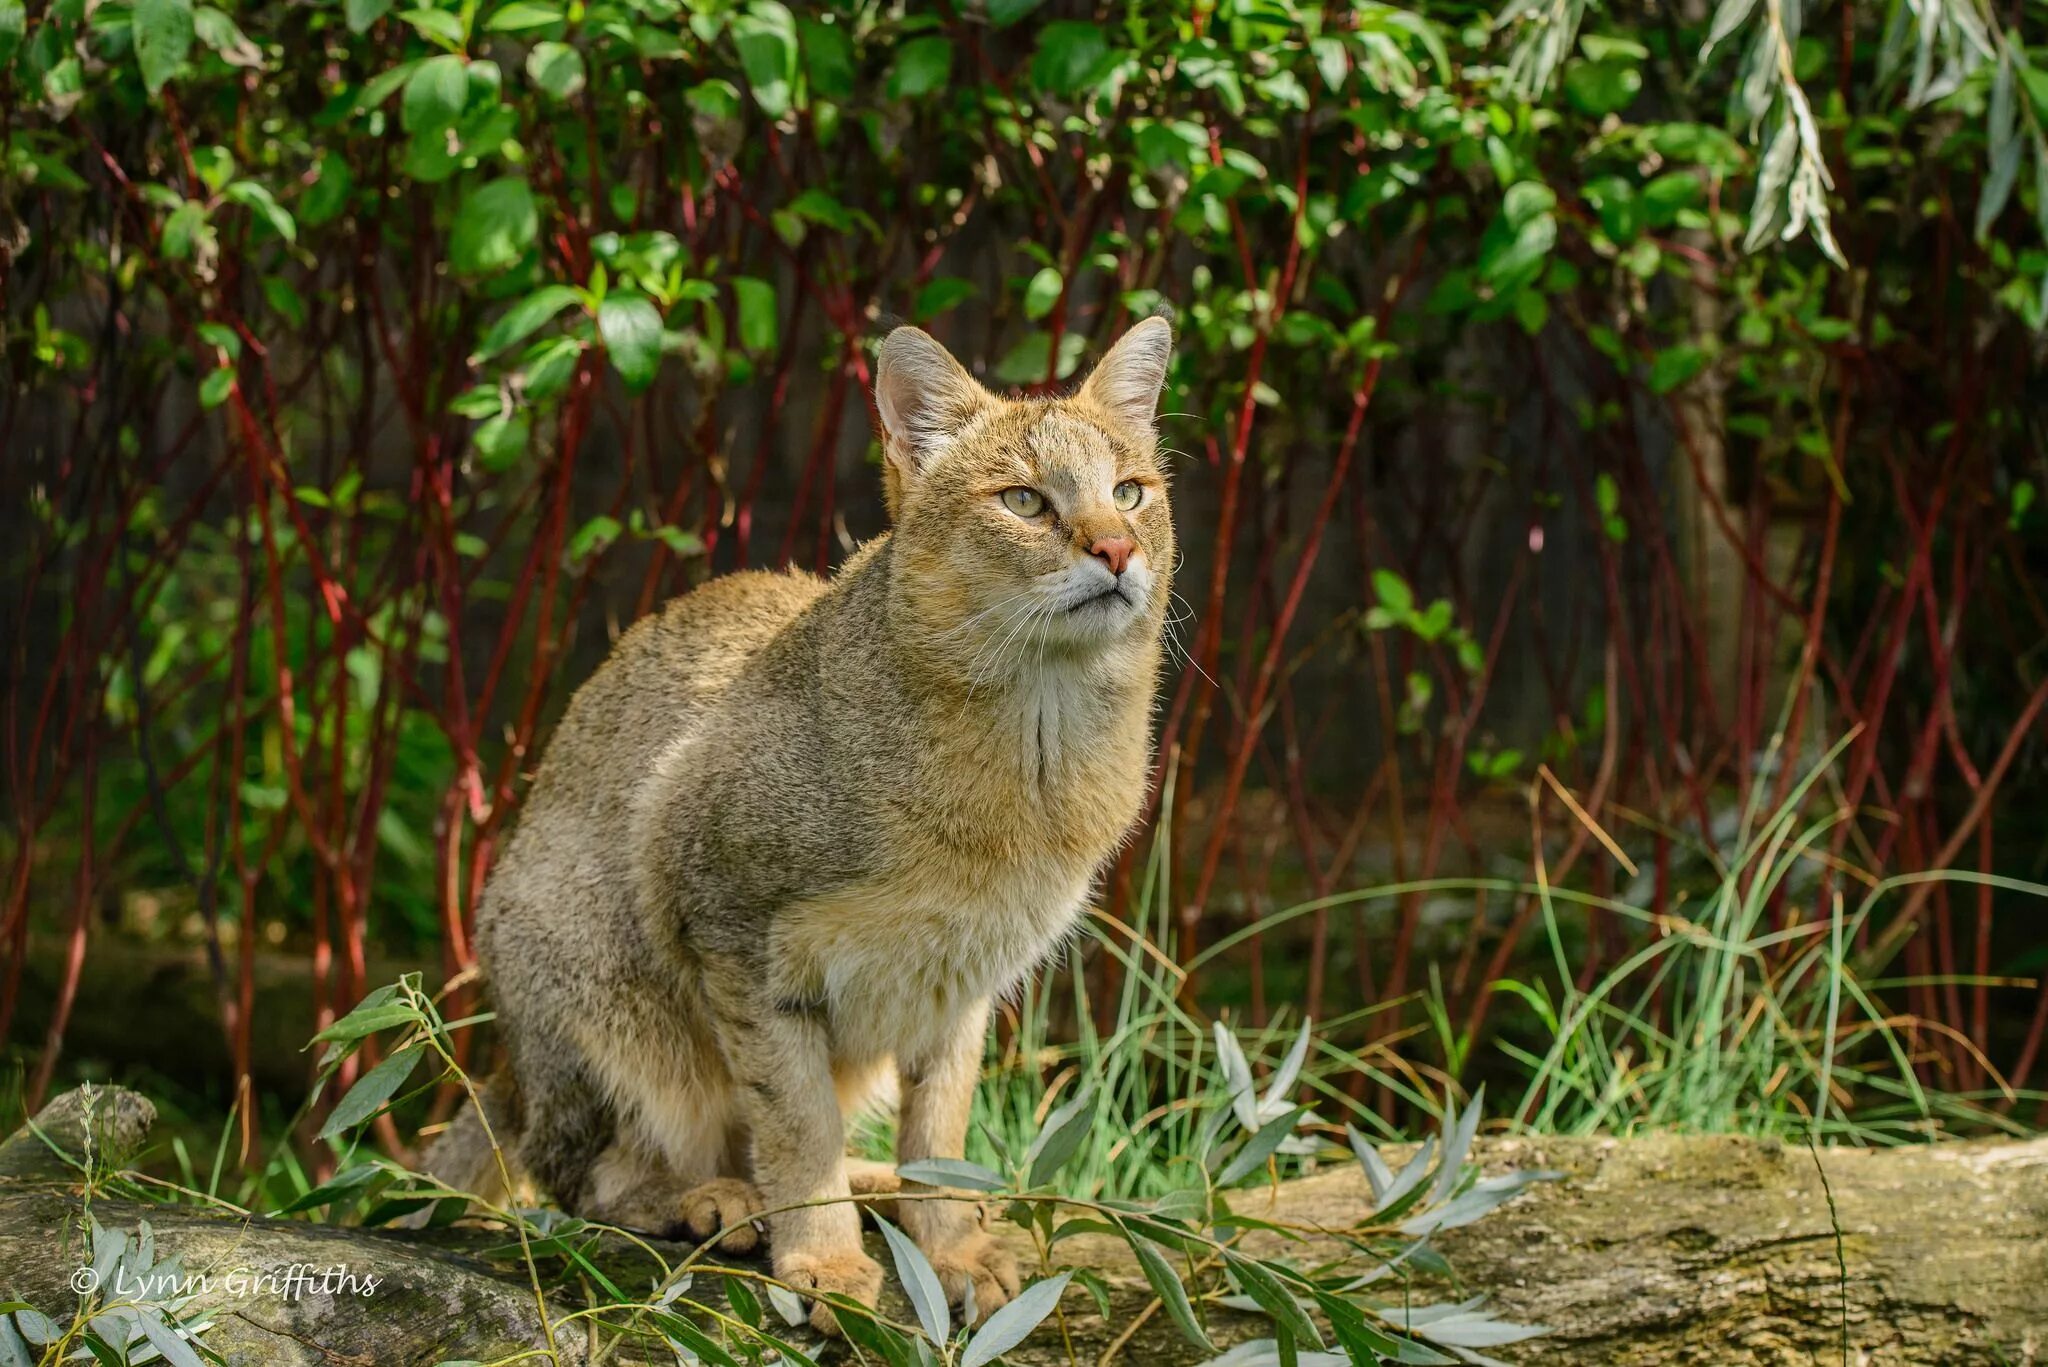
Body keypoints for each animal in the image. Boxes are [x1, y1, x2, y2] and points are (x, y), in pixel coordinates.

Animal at [423, 317, 1179, 1328]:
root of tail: (509, 1070)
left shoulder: (963, 981)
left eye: (1131, 491)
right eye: (1023, 500)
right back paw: (706, 1198)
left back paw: (873, 1184)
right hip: (593, 980)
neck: (1031, 764)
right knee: (577, 1176)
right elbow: (795, 1120)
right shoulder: (733, 926)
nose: (1116, 550)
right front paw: (823, 1259)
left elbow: (939, 1127)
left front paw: (948, 1244)